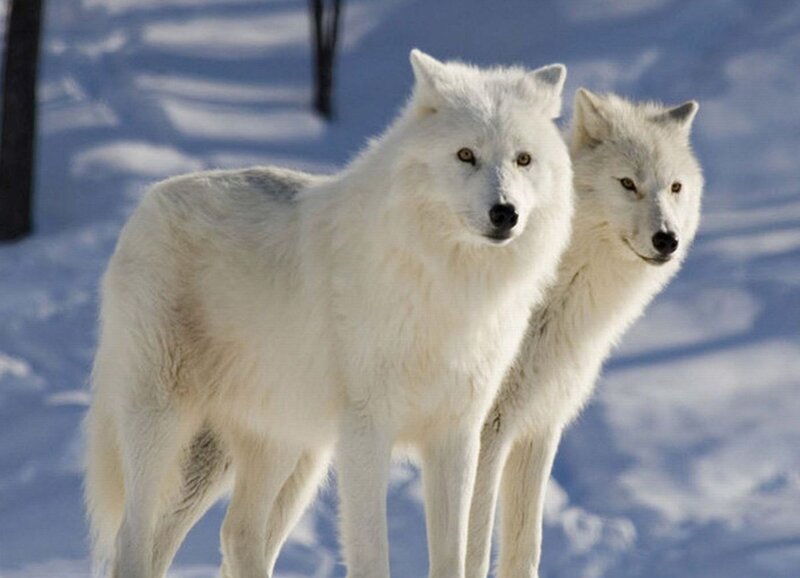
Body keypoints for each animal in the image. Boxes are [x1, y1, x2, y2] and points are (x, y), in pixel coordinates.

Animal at [83, 50, 574, 578]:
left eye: (523, 159)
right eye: (466, 155)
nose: (505, 213)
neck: (449, 285)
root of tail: (148, 200)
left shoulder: (458, 436)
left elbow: (452, 556)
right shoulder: (367, 434)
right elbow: (372, 555)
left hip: (285, 448)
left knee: (236, 533)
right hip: (166, 425)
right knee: (133, 539)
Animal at [464, 89, 703, 578]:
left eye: (675, 187)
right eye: (628, 183)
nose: (667, 239)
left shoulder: (538, 427)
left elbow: (525, 549)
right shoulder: (486, 433)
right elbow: (474, 550)